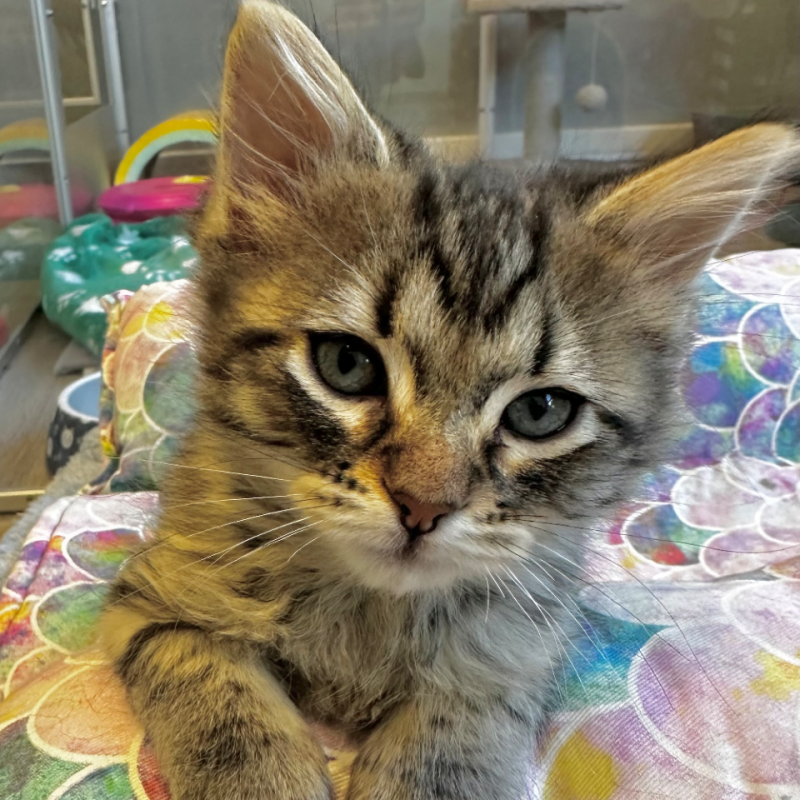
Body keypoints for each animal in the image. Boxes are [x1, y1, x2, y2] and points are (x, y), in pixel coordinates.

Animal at [100, 2, 799, 799]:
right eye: (347, 365)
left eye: (539, 413)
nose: (422, 508)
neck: (369, 612)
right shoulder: (157, 603)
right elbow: (225, 707)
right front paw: (263, 779)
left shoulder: (507, 663)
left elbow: (443, 757)